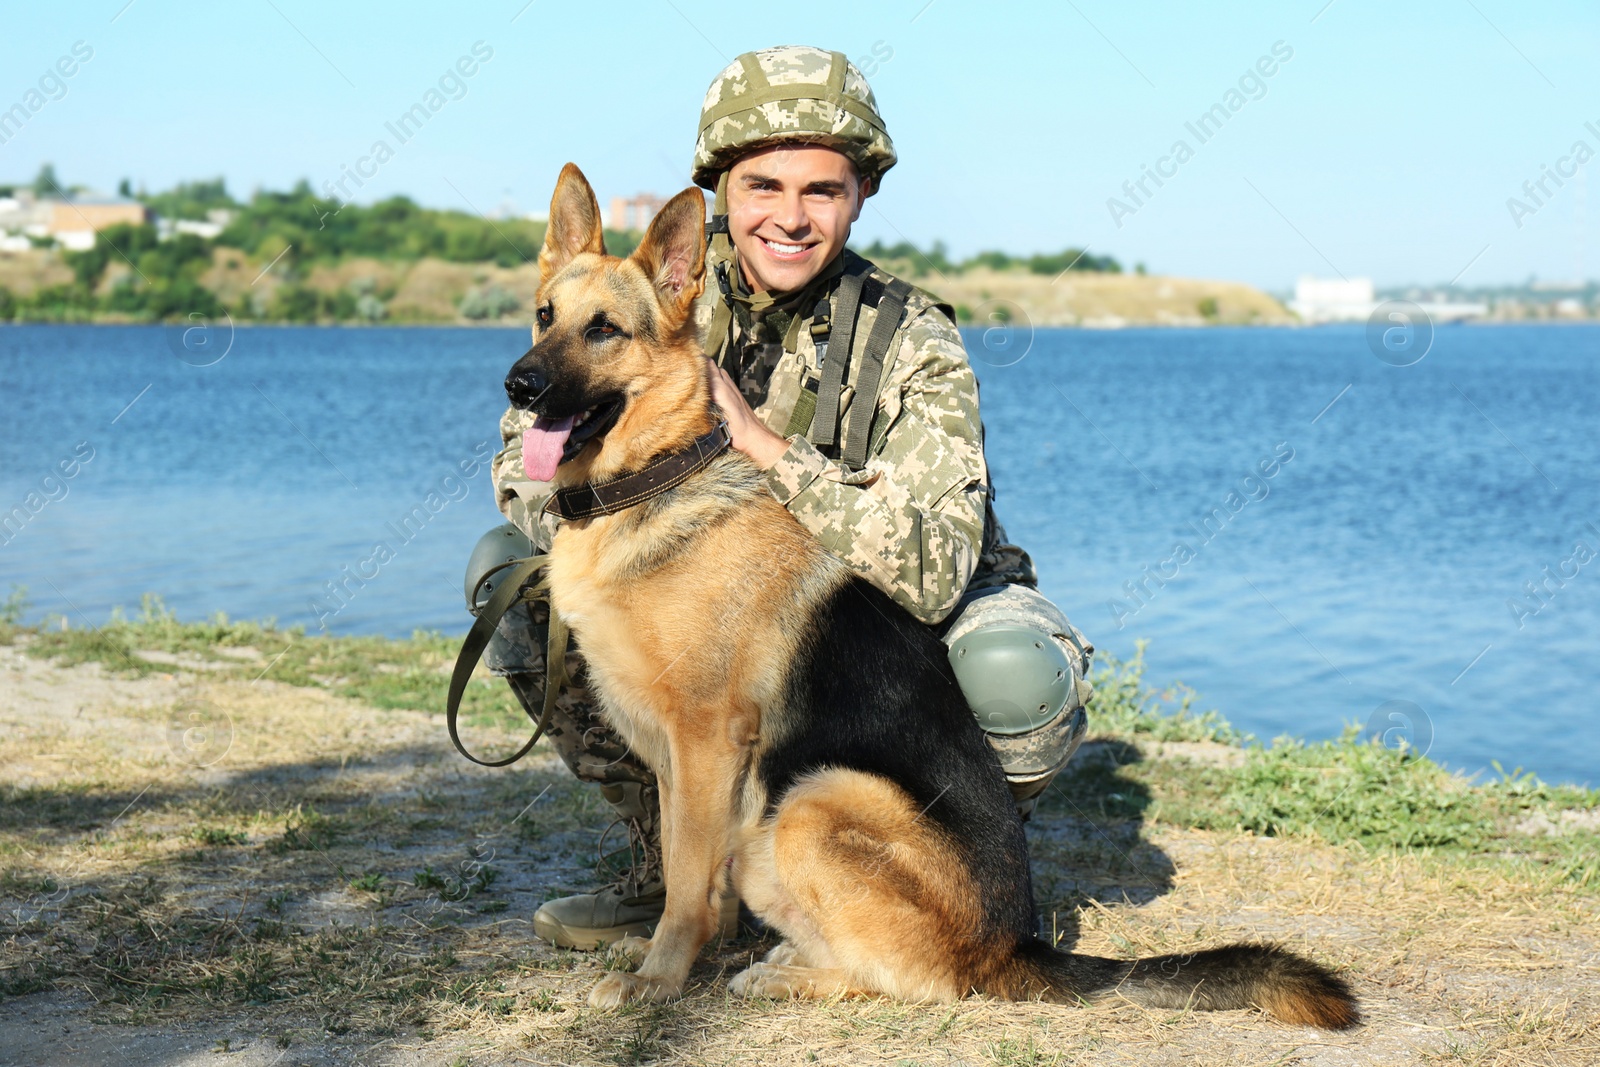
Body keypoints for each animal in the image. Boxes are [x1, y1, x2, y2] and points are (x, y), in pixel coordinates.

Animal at [505, 164, 1356, 1023]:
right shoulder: (677, 759)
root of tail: (1018, 941)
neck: (657, 475)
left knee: (924, 976)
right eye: (545, 316)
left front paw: (659, 978)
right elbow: (688, 868)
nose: (519, 384)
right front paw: (657, 952)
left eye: (605, 330)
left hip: (815, 799)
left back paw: (787, 974)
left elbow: (688, 882)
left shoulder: (707, 741)